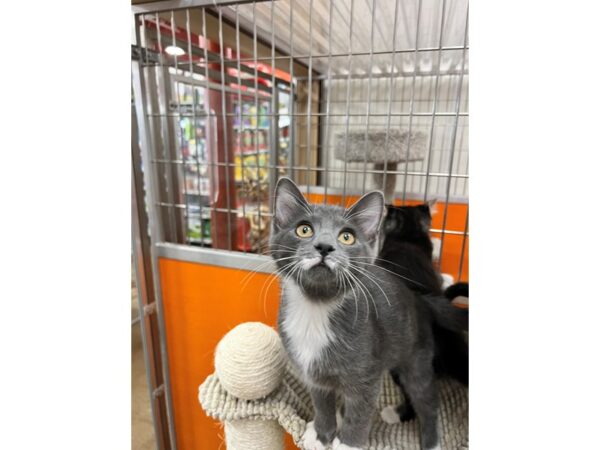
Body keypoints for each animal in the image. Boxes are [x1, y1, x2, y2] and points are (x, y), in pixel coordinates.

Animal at [270, 178, 466, 450]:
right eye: (304, 230)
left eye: (347, 237)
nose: (324, 247)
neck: (316, 309)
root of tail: (420, 297)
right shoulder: (313, 373)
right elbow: (322, 404)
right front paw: (321, 434)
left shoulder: (366, 377)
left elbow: (360, 412)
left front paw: (347, 443)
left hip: (416, 357)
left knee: (426, 400)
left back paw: (430, 441)